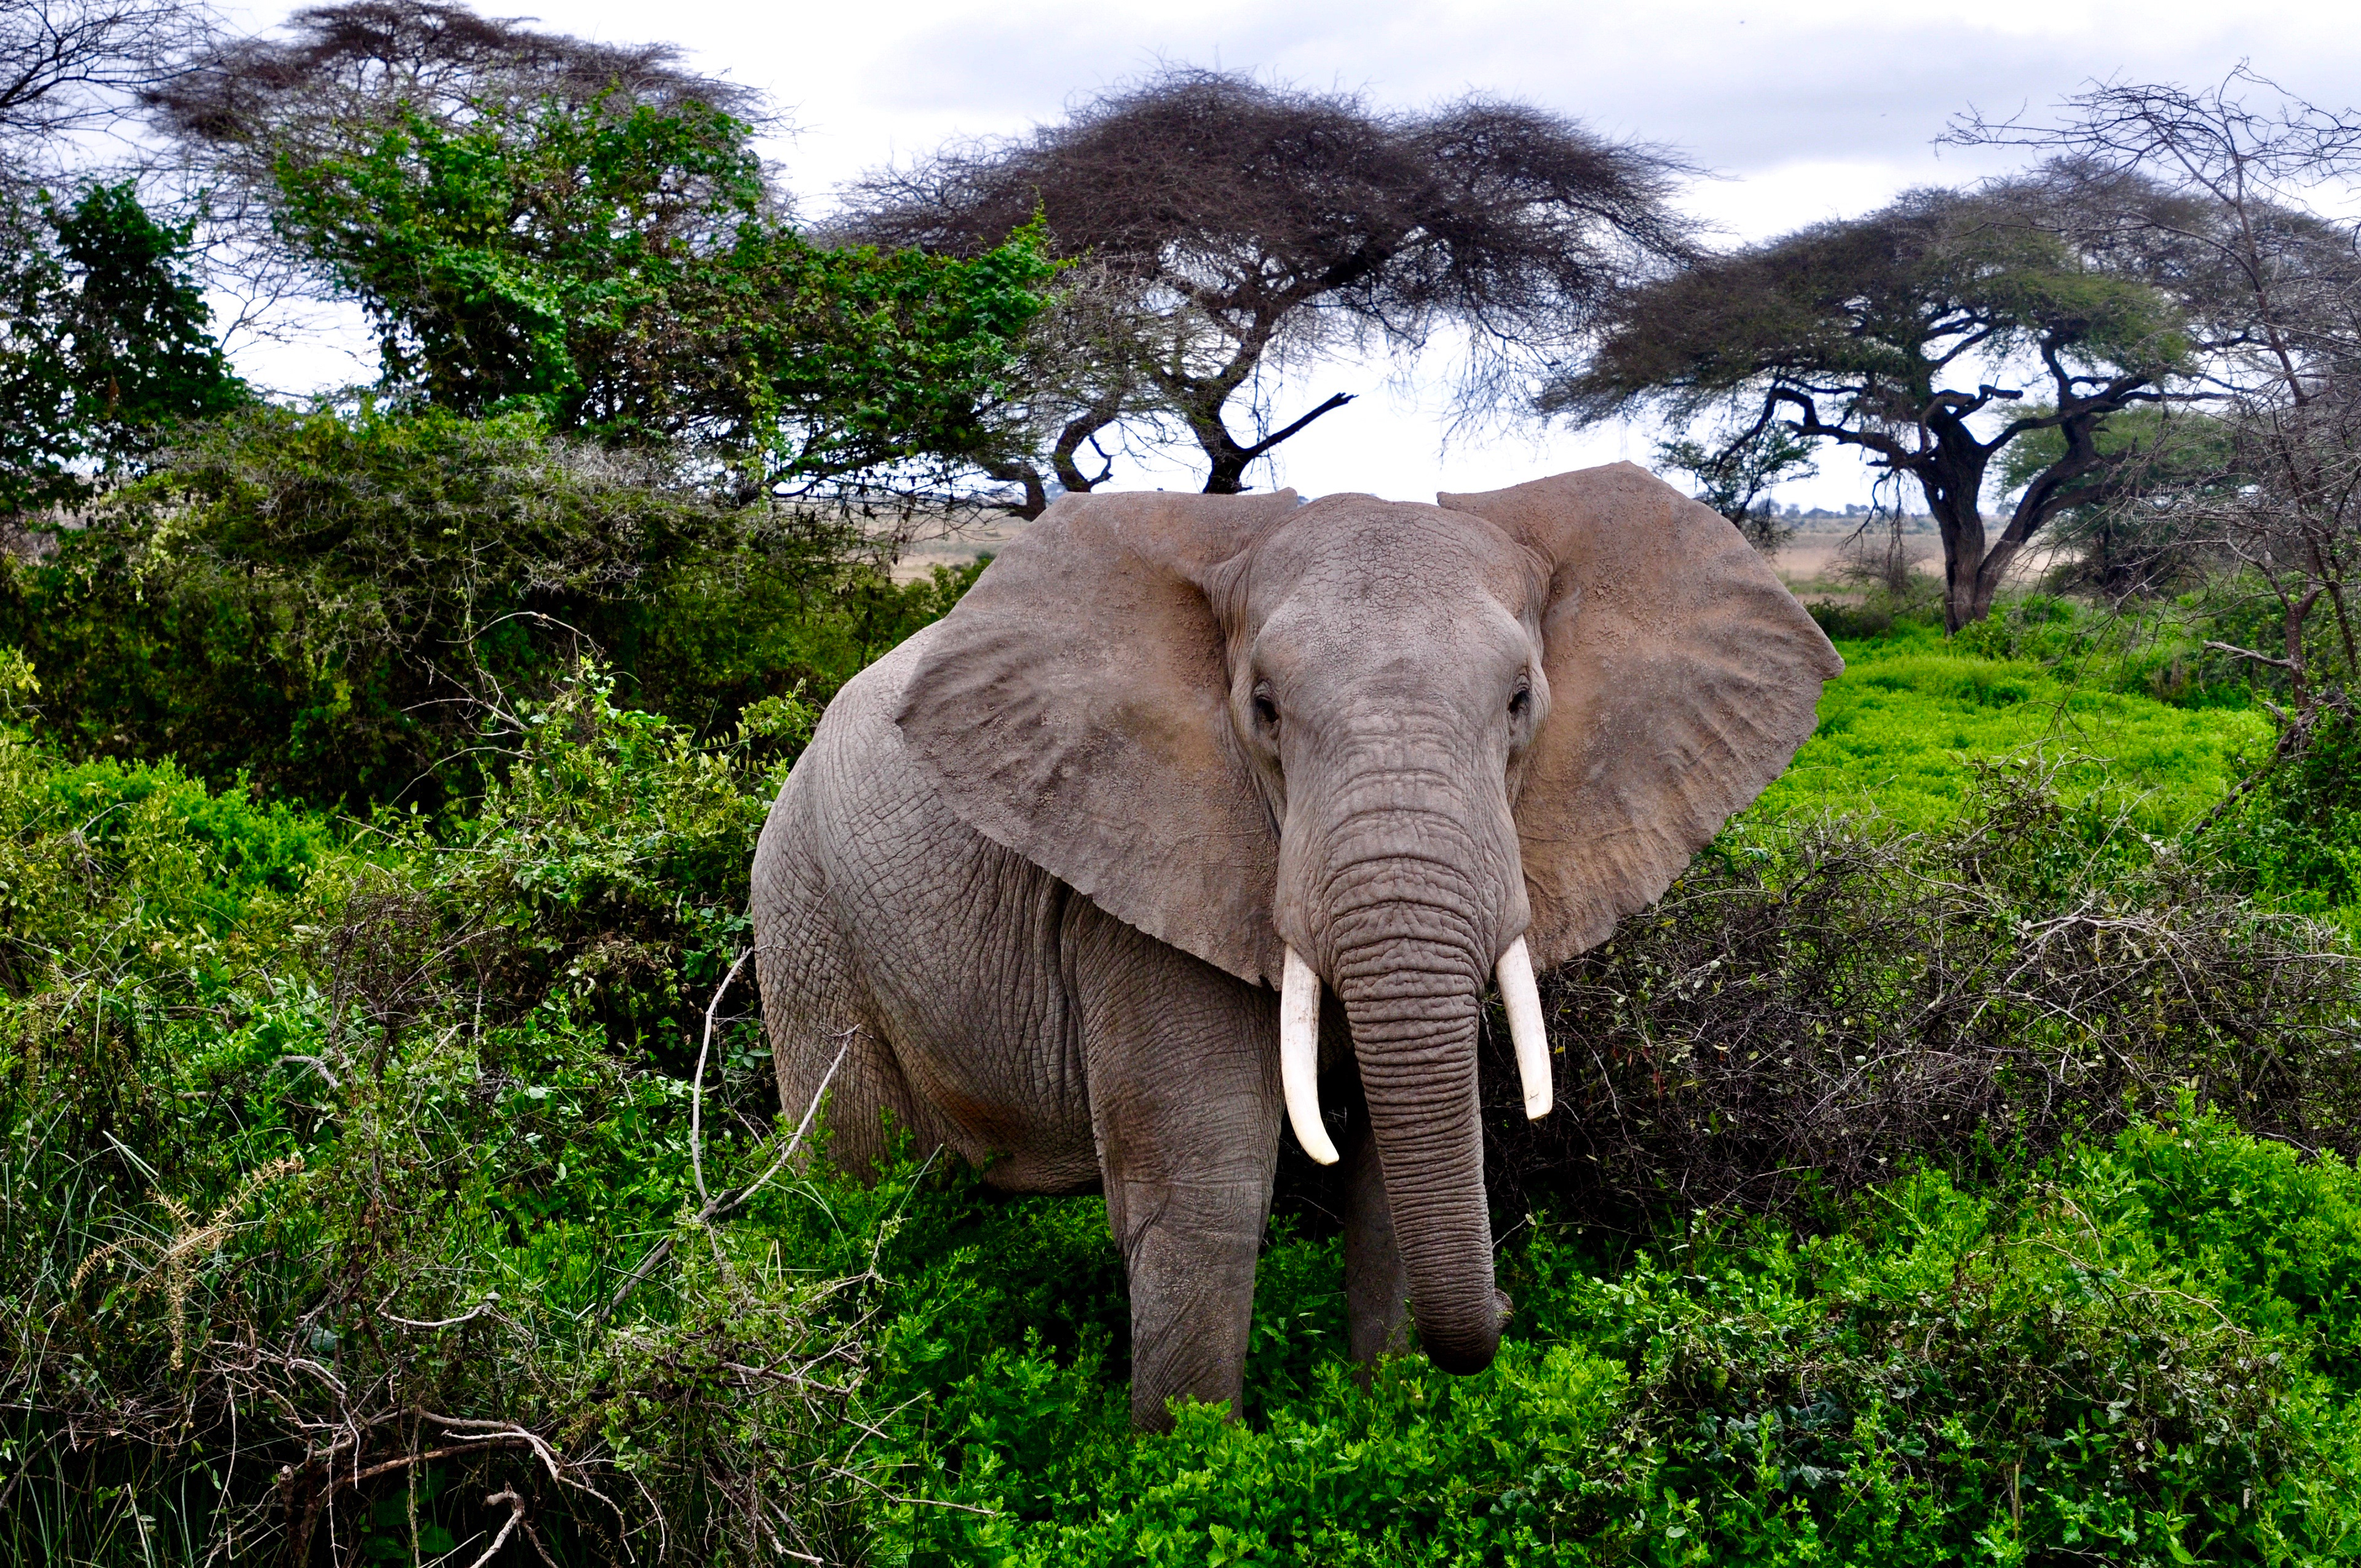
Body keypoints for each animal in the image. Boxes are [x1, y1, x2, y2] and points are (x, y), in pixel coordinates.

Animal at [750, 462, 1841, 1430]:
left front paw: (1386, 1420)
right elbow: (1210, 1197)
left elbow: (1389, 1179)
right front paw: (1189, 1460)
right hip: (802, 908)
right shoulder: (1146, 875)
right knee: (853, 1178)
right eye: (1265, 709)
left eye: (1521, 702)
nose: (1508, 1310)